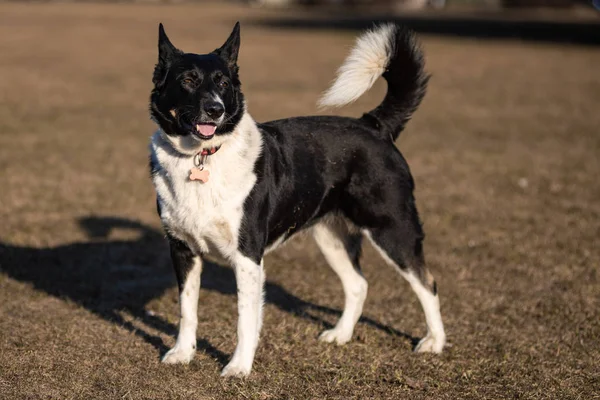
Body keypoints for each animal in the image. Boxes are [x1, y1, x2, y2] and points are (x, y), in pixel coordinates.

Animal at [148, 22, 442, 378]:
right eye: (187, 80)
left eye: (223, 83)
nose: (216, 109)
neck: (202, 156)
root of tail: (373, 126)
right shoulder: (183, 250)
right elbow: (187, 310)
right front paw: (182, 353)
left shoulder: (247, 256)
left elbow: (246, 319)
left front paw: (239, 367)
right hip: (331, 236)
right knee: (358, 285)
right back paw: (341, 334)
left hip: (392, 229)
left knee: (427, 283)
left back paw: (435, 342)